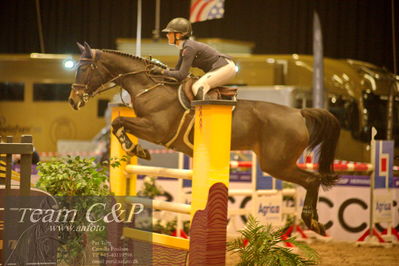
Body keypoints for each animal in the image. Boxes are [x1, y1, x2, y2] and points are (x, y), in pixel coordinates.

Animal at [69, 42, 340, 236]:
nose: (73, 101)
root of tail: (299, 113)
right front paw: (135, 148)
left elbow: (119, 123)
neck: (150, 87)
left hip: (276, 164)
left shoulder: (157, 130)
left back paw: (313, 222)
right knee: (311, 180)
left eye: (84, 69)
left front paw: (134, 148)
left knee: (312, 179)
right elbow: (118, 124)